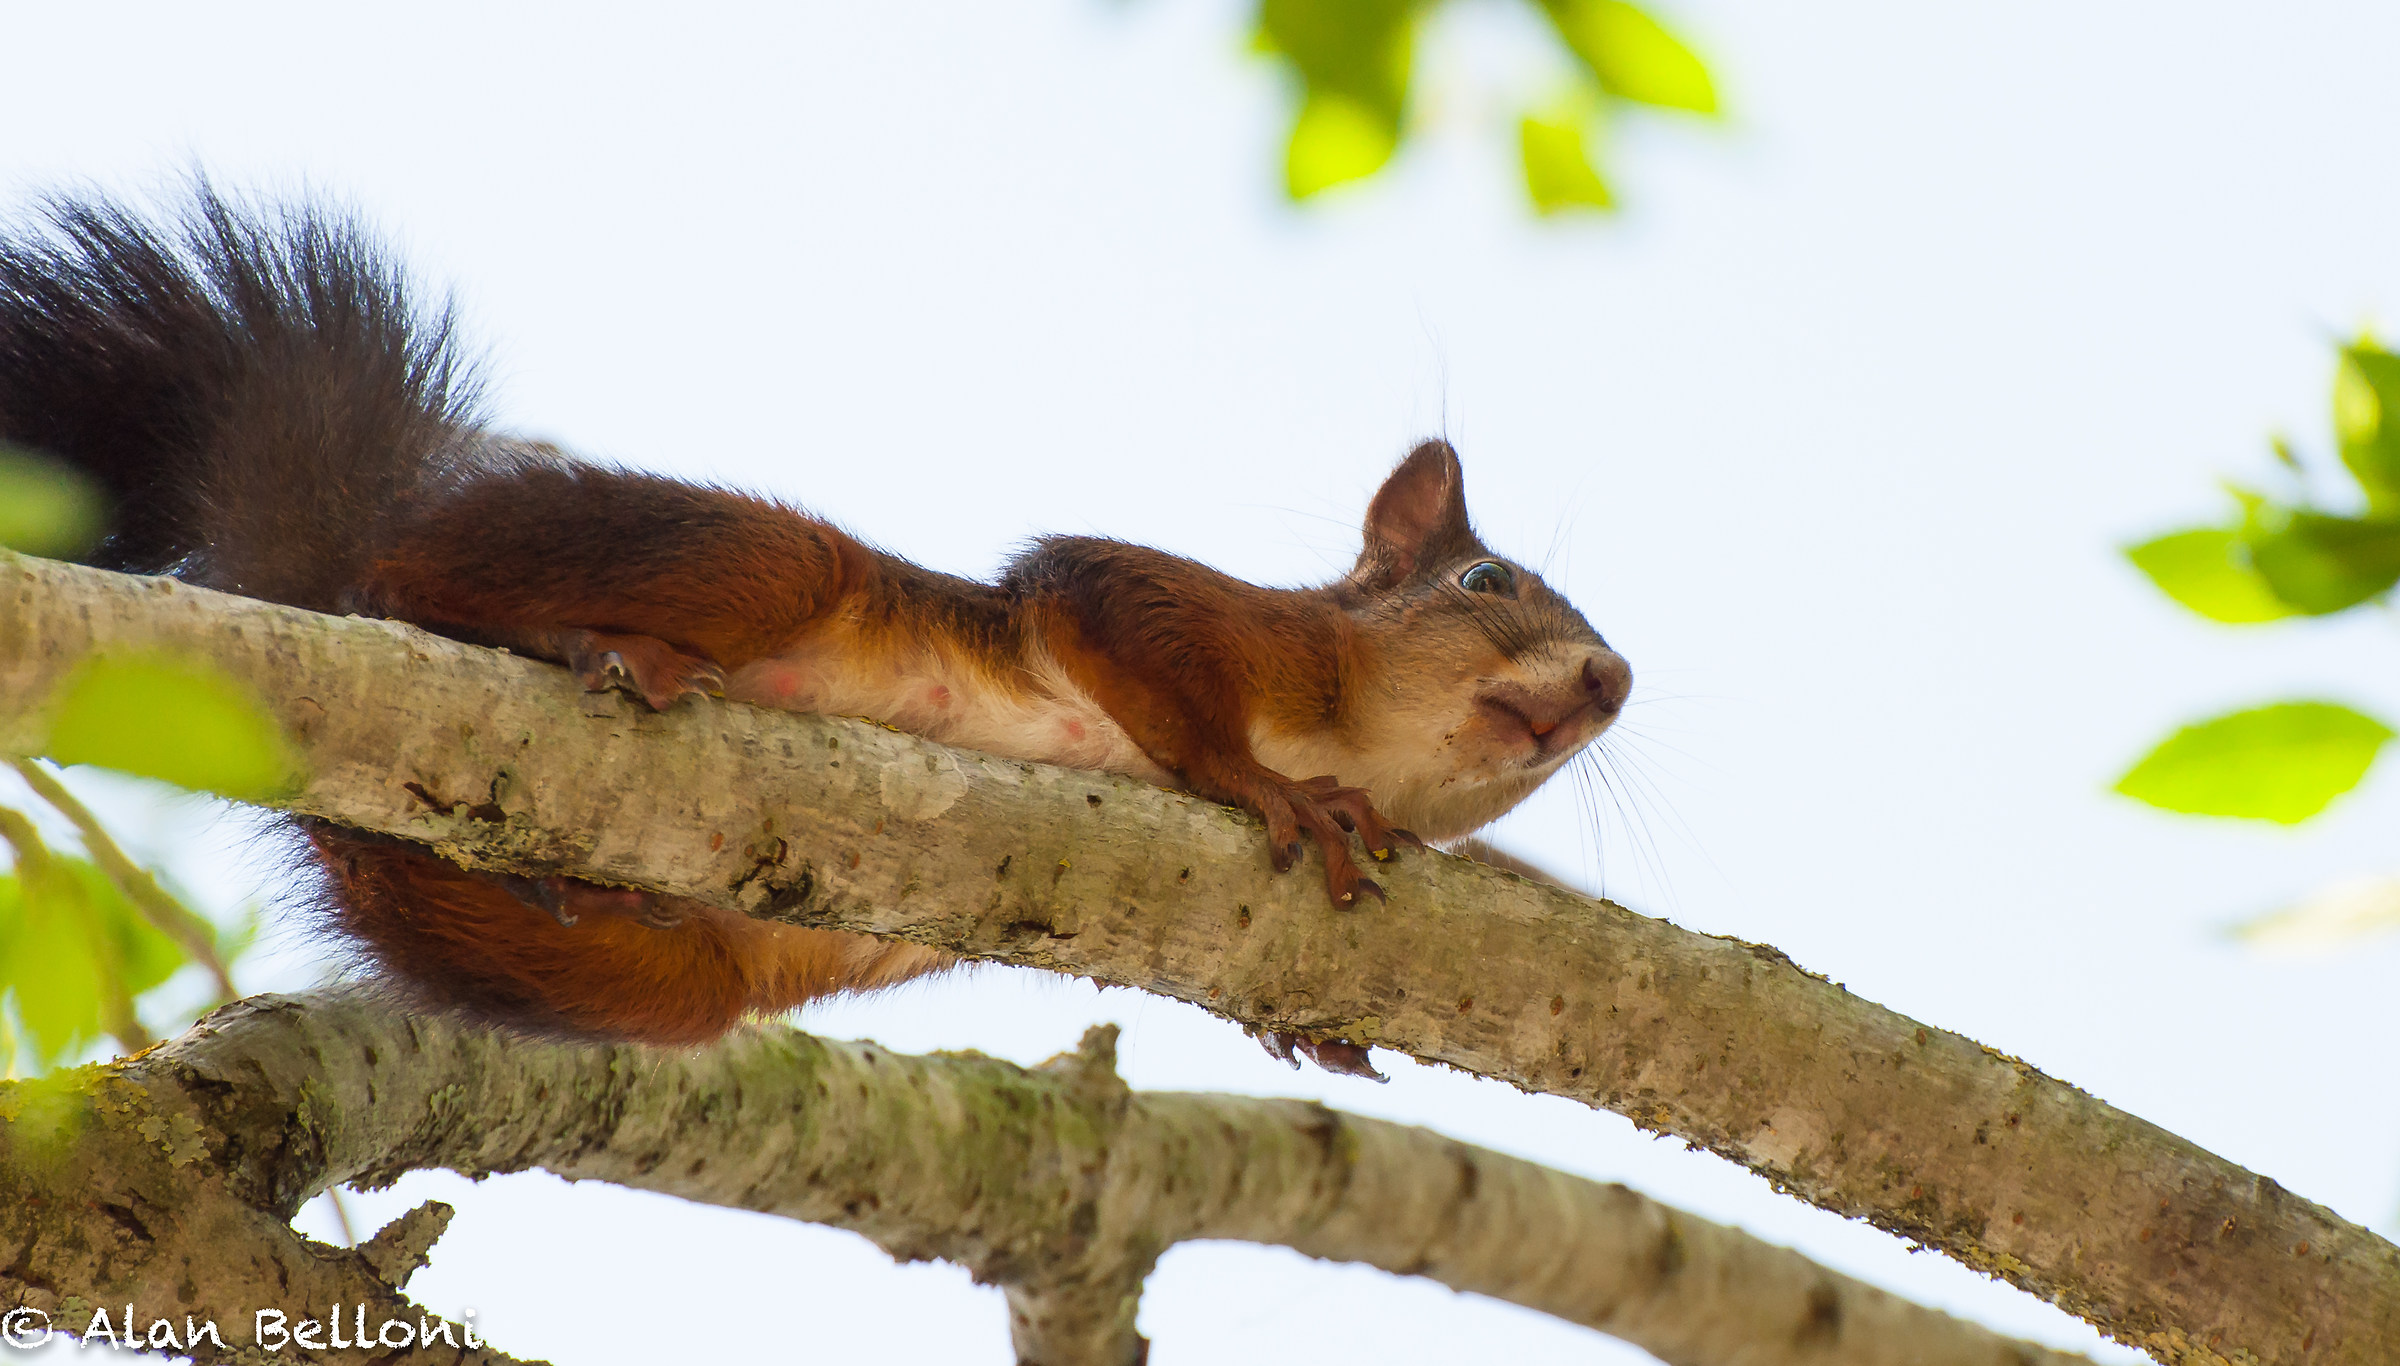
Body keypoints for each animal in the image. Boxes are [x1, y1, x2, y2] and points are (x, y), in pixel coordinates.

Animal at [0, 188, 1631, 1072]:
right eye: (1487, 587)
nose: (1613, 680)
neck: (1354, 708)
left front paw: (1317, 1033)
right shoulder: (1181, 605)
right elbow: (1126, 633)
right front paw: (1266, 786)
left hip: (680, 977)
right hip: (753, 560)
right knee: (417, 596)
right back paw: (587, 647)